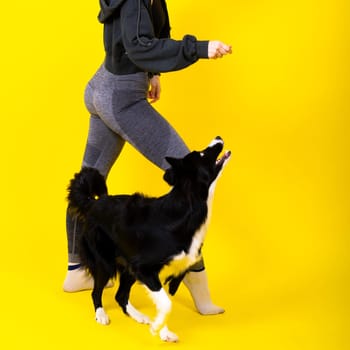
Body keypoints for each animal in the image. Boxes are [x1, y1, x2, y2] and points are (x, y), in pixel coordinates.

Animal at [67, 137, 231, 342]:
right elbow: (167, 303)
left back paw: (138, 316)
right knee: (96, 292)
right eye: (202, 154)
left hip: (127, 264)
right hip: (106, 262)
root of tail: (94, 202)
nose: (218, 137)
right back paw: (101, 315)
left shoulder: (170, 271)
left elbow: (166, 302)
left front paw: (162, 330)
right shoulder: (144, 268)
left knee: (121, 295)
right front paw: (158, 328)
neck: (188, 207)